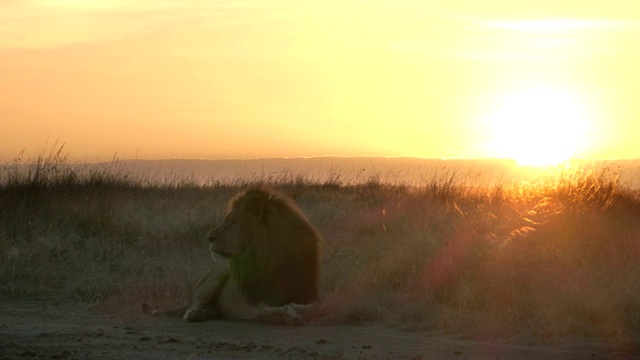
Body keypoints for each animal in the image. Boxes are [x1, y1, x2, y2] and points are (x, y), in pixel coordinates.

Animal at [147, 187, 322, 324]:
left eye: (233, 222)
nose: (209, 238)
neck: (272, 259)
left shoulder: (307, 294)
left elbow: (315, 308)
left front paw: (295, 309)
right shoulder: (256, 303)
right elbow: (266, 313)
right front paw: (289, 314)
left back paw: (209, 312)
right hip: (216, 275)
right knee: (192, 306)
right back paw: (197, 313)